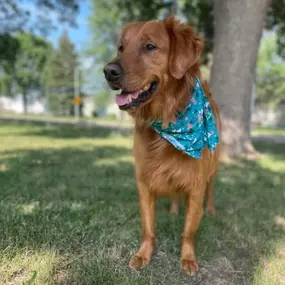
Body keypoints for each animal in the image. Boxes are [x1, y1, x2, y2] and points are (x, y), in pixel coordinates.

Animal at [103, 16, 221, 274]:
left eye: (150, 47)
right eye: (121, 48)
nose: (108, 71)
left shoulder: (195, 186)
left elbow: (189, 231)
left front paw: (187, 259)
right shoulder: (145, 182)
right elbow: (148, 228)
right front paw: (143, 255)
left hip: (213, 171)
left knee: (211, 192)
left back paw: (211, 210)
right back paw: (175, 209)